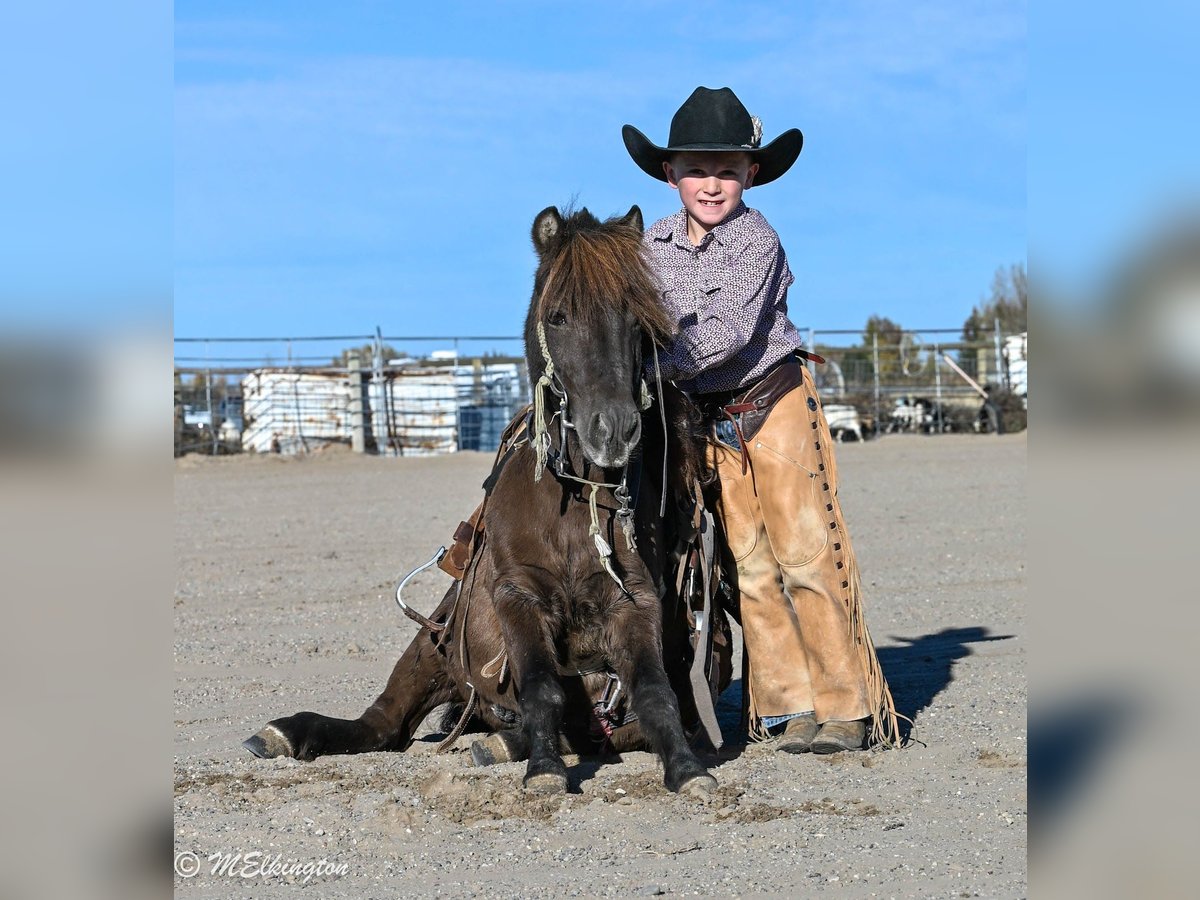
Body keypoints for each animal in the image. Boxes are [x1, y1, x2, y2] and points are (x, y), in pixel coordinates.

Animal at [243, 204, 728, 796]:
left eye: (638, 322)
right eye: (558, 317)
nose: (613, 429)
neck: (574, 506)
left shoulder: (632, 603)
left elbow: (655, 692)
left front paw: (686, 768)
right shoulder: (517, 596)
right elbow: (542, 686)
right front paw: (544, 769)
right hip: (434, 645)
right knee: (384, 723)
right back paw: (288, 732)